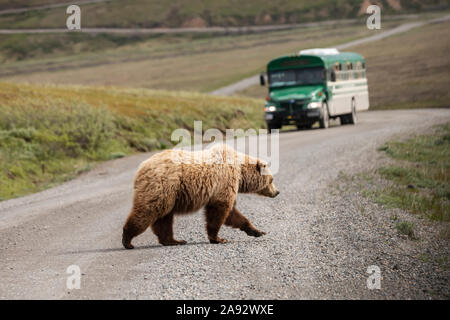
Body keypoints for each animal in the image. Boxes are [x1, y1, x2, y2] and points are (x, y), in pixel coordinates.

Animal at [121, 144, 280, 249]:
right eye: (271, 179)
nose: (277, 192)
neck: (240, 171)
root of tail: (141, 168)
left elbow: (233, 214)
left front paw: (257, 231)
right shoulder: (224, 181)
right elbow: (220, 210)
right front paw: (219, 238)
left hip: (168, 195)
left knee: (164, 218)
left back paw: (174, 240)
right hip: (162, 186)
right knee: (148, 211)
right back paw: (127, 240)